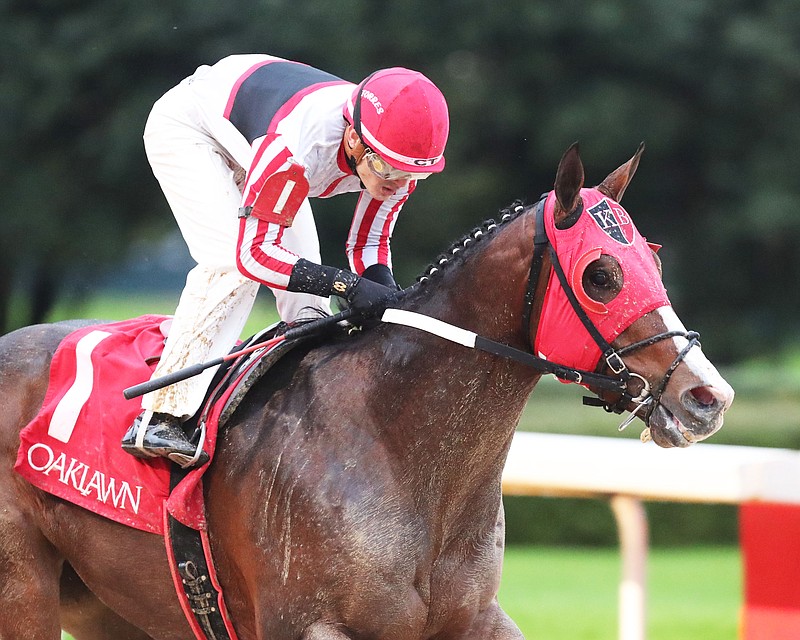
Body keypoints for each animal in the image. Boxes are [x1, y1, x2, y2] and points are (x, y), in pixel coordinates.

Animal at [0, 145, 732, 640]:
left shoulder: (475, 619)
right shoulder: (310, 625)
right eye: (602, 274)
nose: (707, 396)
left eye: (653, 258)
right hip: (25, 591)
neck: (398, 446)